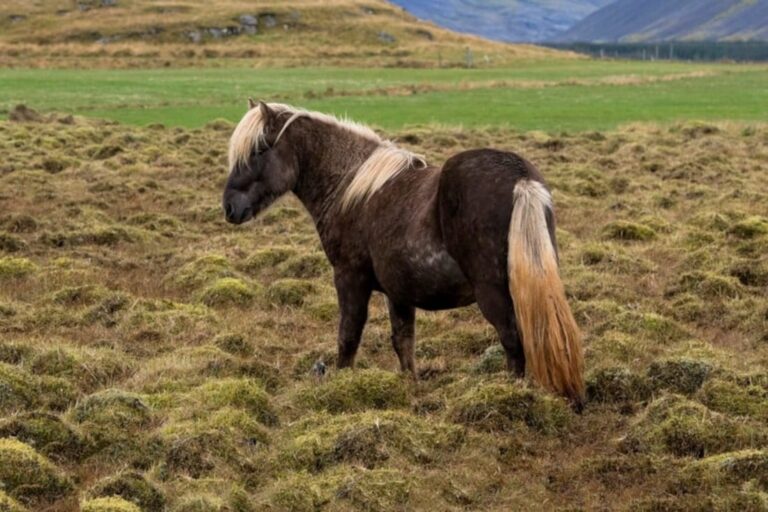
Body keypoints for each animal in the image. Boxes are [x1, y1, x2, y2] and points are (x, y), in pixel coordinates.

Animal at [222, 100, 585, 406]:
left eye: (259, 149)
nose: (229, 208)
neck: (351, 188)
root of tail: (520, 178)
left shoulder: (350, 278)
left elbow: (348, 337)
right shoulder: (398, 292)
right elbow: (403, 341)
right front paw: (410, 388)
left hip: (493, 293)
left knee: (513, 342)